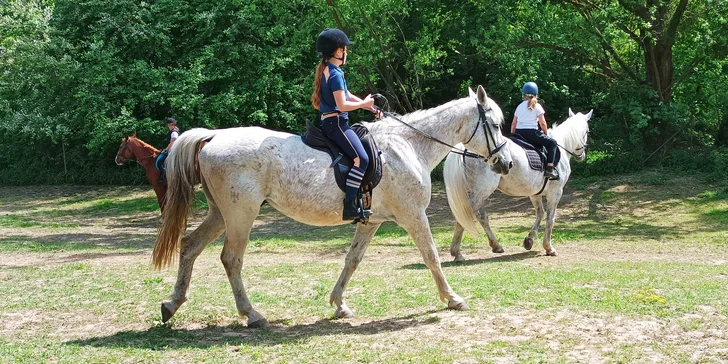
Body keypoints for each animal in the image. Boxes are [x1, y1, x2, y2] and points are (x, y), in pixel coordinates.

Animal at [152, 86, 512, 328]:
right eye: (495, 125)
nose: (506, 163)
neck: (408, 146)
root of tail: (212, 137)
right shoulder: (413, 215)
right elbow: (431, 257)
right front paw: (453, 298)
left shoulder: (371, 222)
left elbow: (352, 260)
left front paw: (339, 304)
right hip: (241, 214)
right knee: (231, 259)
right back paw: (252, 315)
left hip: (220, 214)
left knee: (190, 245)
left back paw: (171, 305)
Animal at [444, 108, 592, 258]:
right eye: (587, 132)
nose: (582, 156)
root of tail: (465, 148)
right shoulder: (555, 192)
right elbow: (550, 218)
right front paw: (548, 247)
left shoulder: (534, 193)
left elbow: (540, 213)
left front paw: (529, 240)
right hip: (480, 191)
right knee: (480, 215)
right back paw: (496, 245)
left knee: (463, 215)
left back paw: (456, 252)